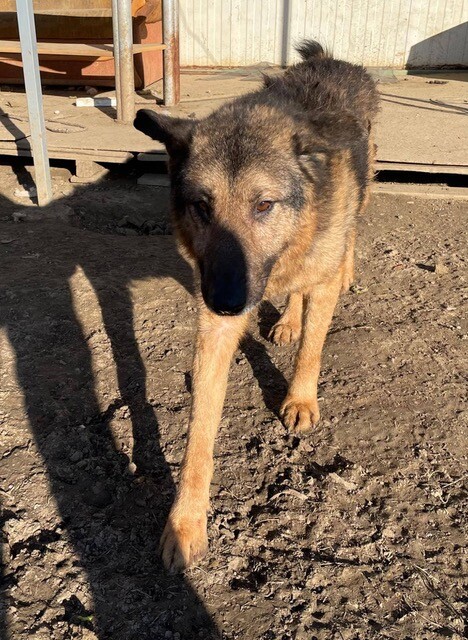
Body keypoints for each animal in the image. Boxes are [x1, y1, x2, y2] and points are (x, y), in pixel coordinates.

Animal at [135, 40, 379, 572]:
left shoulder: (314, 276)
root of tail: (331, 60)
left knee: (348, 236)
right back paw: (286, 318)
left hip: (361, 192)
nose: (227, 302)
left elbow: (313, 347)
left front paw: (301, 399)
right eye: (202, 206)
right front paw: (185, 524)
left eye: (263, 205)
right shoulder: (213, 322)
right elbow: (199, 431)